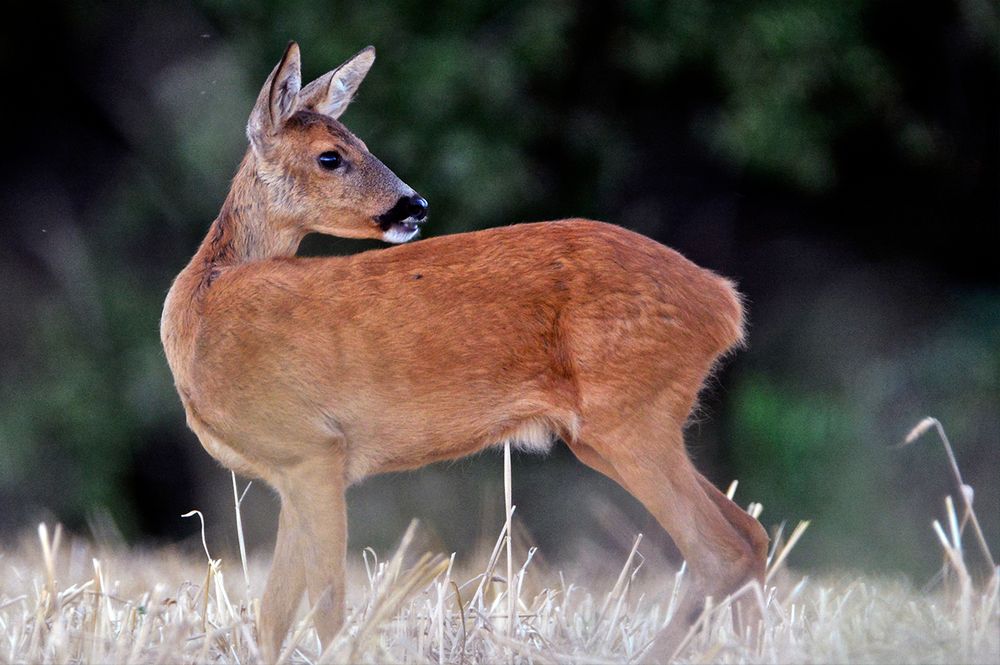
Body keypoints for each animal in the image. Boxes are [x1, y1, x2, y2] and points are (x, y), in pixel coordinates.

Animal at [160, 44, 768, 660]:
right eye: (331, 156)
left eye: (359, 143)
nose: (415, 205)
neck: (201, 312)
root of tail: (723, 302)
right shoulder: (291, 470)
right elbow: (274, 614)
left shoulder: (315, 447)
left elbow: (327, 604)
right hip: (608, 431)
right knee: (753, 532)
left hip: (631, 413)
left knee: (722, 550)